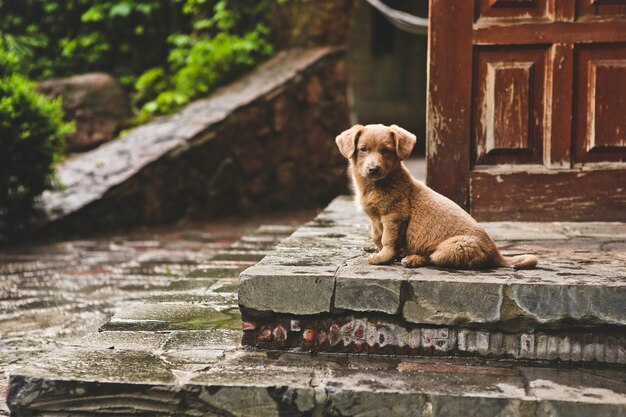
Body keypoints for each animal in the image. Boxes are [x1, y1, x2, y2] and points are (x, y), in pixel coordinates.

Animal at [334, 122, 532, 270]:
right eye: (363, 149)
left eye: (386, 150)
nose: (373, 169)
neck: (376, 185)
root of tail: (496, 252)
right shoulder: (375, 220)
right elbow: (377, 237)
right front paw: (387, 253)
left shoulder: (394, 215)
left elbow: (387, 239)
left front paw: (384, 256)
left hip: (452, 247)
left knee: (433, 258)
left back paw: (412, 259)